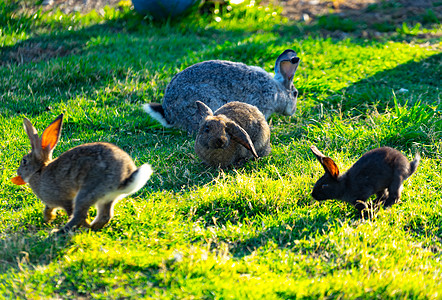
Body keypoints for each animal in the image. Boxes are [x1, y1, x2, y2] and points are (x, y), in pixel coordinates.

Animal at [11, 113, 153, 233]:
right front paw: (48, 218)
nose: (18, 171)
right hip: (107, 197)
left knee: (80, 215)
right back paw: (92, 227)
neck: (39, 171)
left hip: (87, 192)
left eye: (24, 161)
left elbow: (70, 211)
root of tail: (123, 178)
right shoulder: (51, 203)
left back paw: (61, 231)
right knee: (105, 215)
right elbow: (48, 208)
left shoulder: (64, 199)